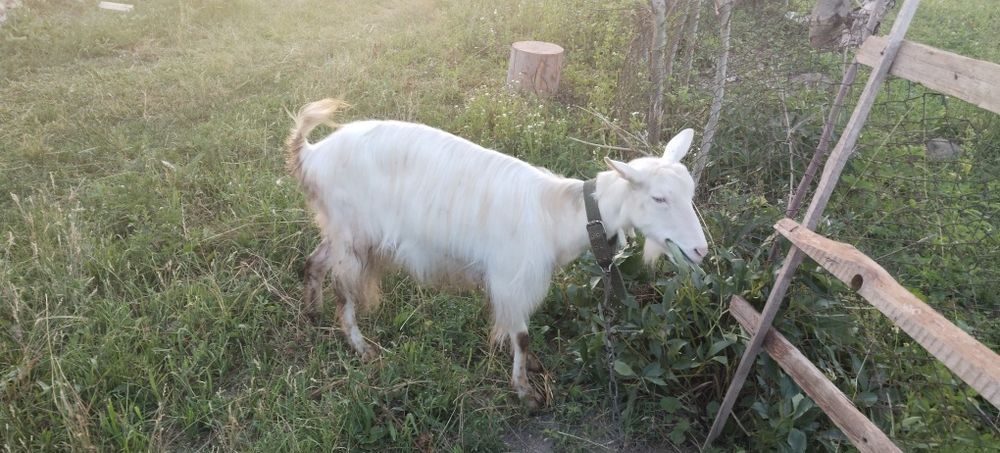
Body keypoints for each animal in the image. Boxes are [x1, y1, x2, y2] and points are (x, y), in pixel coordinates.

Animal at [285, 99, 708, 407]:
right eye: (659, 198)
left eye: (689, 192)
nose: (700, 250)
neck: (556, 215)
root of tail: (311, 154)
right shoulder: (511, 278)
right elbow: (521, 335)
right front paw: (525, 391)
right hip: (352, 233)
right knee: (345, 288)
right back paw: (362, 348)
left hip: (339, 229)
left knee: (315, 262)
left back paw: (312, 313)